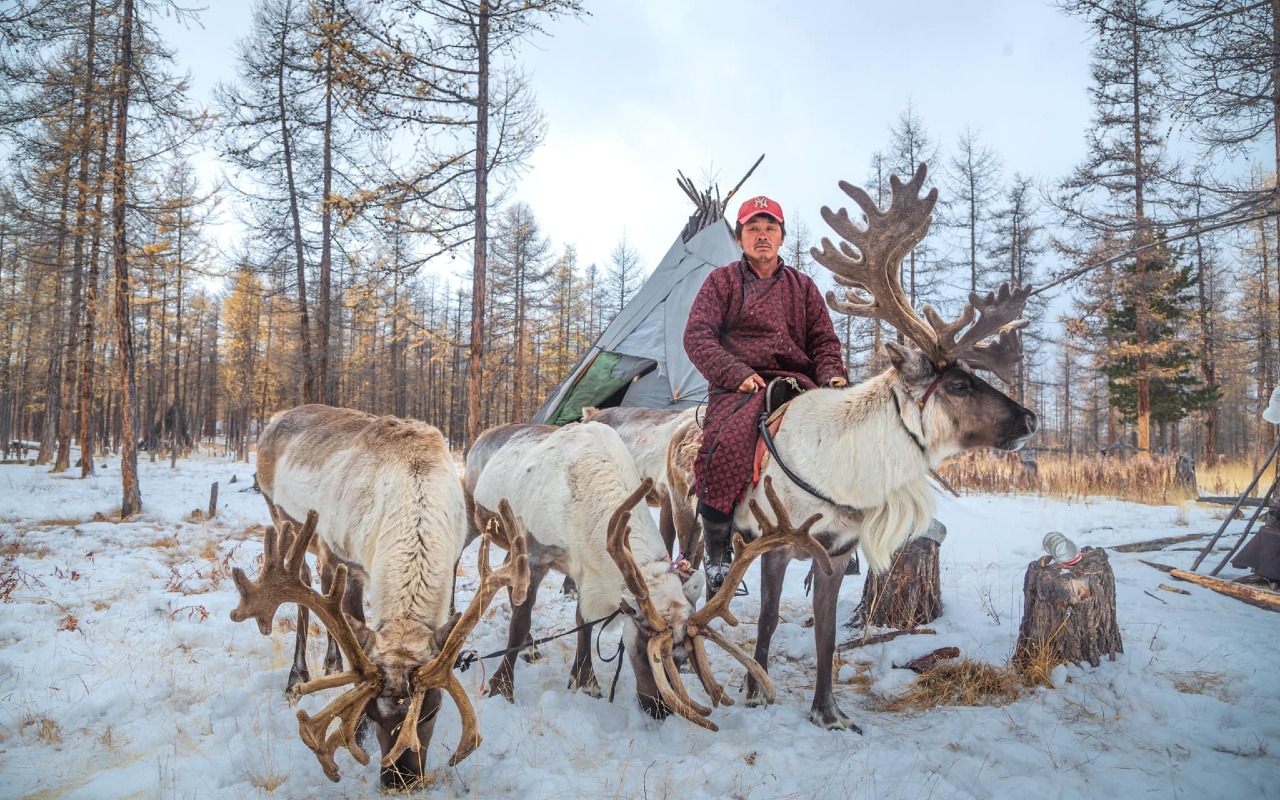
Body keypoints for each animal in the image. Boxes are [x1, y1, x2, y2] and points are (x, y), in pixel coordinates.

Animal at [238, 404, 529, 787]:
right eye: (374, 714)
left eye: (433, 710)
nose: (399, 779)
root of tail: (277, 416)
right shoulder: (344, 559)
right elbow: (355, 632)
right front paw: (355, 731)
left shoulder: (451, 559)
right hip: (282, 516)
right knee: (303, 578)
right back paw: (297, 677)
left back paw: (330, 662)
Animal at [464, 420, 832, 730]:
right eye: (645, 652)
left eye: (684, 661)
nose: (661, 710)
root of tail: (482, 435)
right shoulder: (536, 555)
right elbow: (521, 620)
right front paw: (502, 687)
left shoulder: (586, 571)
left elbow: (584, 622)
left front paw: (585, 681)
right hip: (475, 521)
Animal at [719, 164, 1039, 732]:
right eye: (959, 385)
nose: (1031, 418)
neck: (843, 467)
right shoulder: (772, 539)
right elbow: (769, 617)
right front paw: (754, 689)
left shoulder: (834, 552)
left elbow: (826, 635)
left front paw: (829, 712)